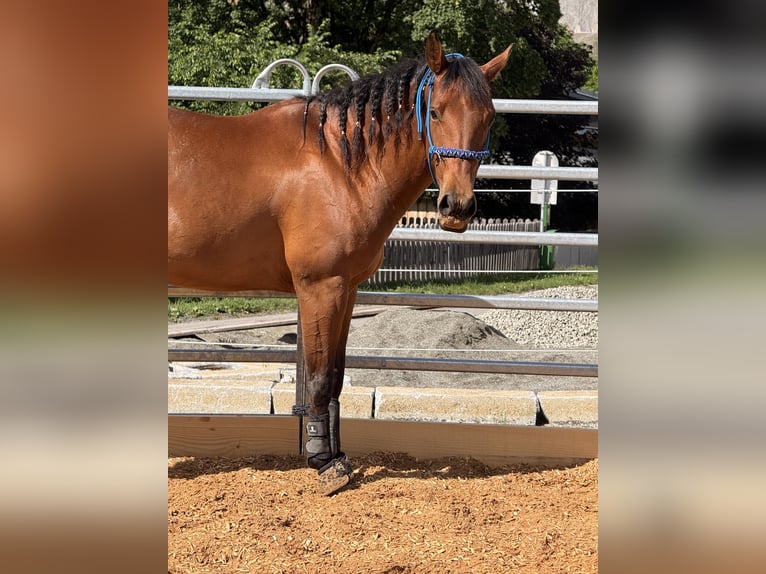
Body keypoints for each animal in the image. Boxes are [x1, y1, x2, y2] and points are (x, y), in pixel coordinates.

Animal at [168, 33, 512, 495]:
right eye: (436, 111)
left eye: (488, 117)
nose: (456, 207)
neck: (337, 164)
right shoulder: (320, 287)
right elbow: (317, 376)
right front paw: (322, 463)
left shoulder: (347, 288)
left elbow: (335, 375)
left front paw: (338, 454)